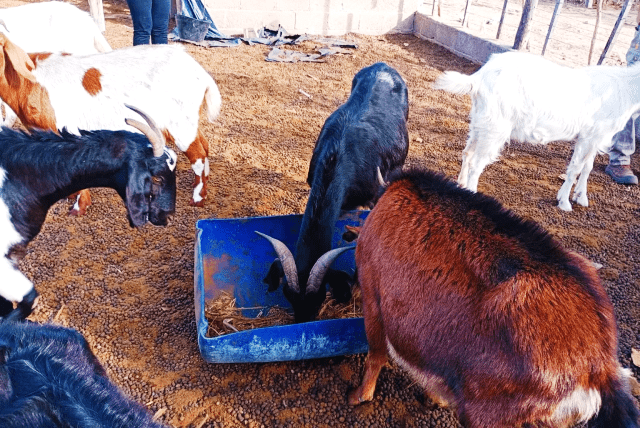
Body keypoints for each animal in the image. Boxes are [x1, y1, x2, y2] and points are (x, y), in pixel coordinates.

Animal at [0, 32, 220, 215]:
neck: (28, 82)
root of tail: (200, 72)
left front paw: (78, 207)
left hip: (179, 122)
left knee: (198, 153)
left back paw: (197, 198)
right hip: (187, 118)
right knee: (204, 144)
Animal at [257, 62, 409, 323]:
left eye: (319, 297)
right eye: (288, 295)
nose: (302, 322)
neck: (338, 154)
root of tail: (382, 65)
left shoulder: (373, 196)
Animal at [433, 51, 640, 211]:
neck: (626, 89)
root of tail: (480, 77)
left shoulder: (595, 136)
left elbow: (587, 167)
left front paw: (581, 198)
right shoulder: (590, 135)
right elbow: (575, 168)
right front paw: (564, 202)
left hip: (480, 120)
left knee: (467, 152)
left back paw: (461, 184)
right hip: (496, 126)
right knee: (477, 162)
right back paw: (472, 191)